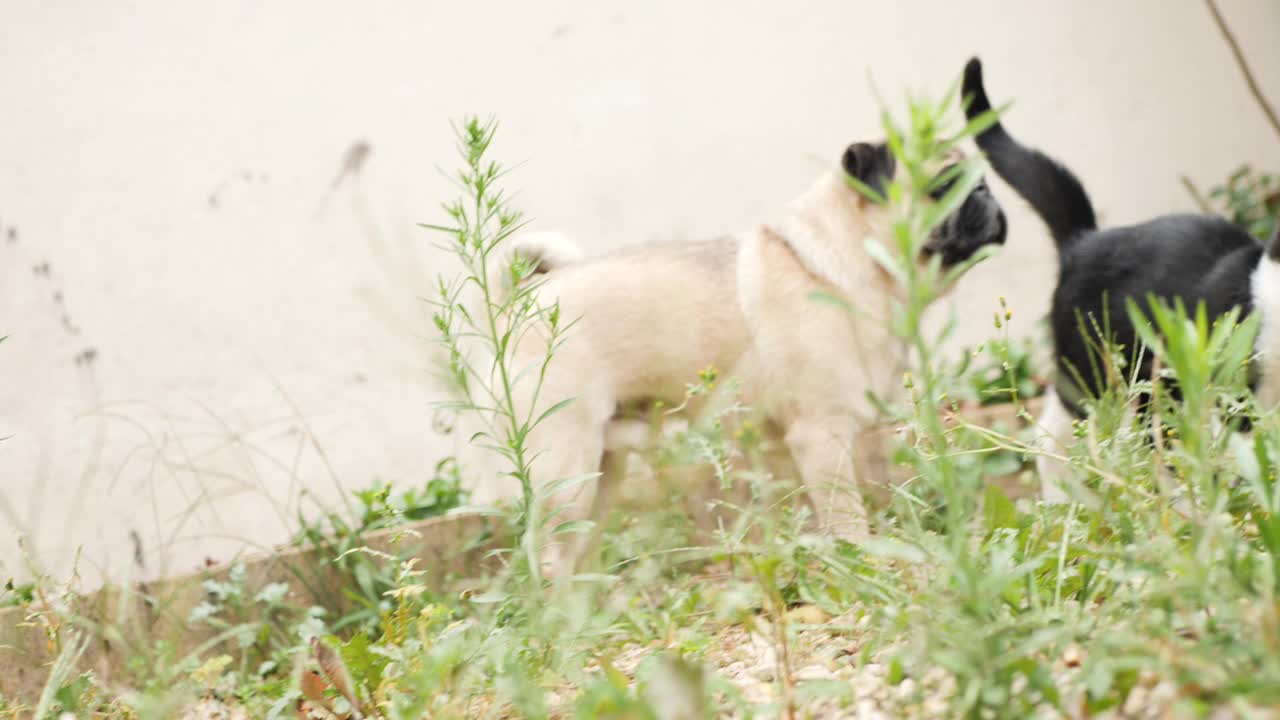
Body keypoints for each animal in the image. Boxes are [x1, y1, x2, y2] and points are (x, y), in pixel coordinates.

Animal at [473, 137, 1008, 571]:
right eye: (944, 185)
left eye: (978, 177)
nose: (985, 190)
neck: (850, 263)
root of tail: (515, 306)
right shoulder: (821, 435)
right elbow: (847, 516)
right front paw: (865, 563)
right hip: (567, 469)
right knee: (547, 553)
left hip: (602, 471)